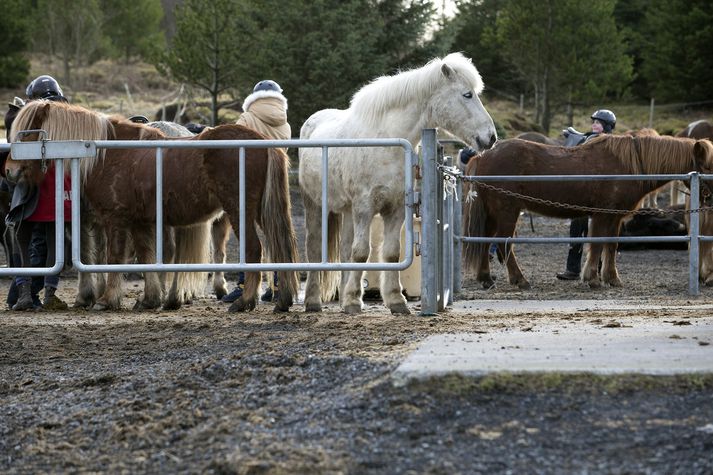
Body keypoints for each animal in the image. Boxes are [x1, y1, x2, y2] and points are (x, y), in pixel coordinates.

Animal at [4, 101, 298, 314]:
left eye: (27, 134)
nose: (9, 171)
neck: (105, 154)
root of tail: (262, 141)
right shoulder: (140, 222)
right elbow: (147, 257)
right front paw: (149, 299)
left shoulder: (115, 220)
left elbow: (114, 259)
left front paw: (106, 299)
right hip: (260, 212)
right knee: (278, 248)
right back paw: (282, 300)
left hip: (239, 211)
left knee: (255, 250)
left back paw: (244, 302)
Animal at [298, 53, 496, 316]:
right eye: (467, 94)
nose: (491, 137)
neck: (386, 143)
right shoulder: (365, 208)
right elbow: (361, 253)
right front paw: (353, 301)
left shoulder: (396, 209)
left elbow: (390, 253)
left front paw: (395, 300)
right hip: (315, 205)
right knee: (313, 248)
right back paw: (313, 302)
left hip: (348, 211)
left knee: (345, 248)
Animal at [462, 134, 712, 290]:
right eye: (707, 166)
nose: (710, 199)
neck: (628, 165)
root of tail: (481, 156)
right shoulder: (603, 215)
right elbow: (598, 244)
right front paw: (593, 278)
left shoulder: (615, 217)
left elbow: (610, 246)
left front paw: (611, 278)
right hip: (507, 212)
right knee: (503, 245)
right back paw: (520, 280)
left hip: (493, 214)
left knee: (484, 242)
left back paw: (486, 279)